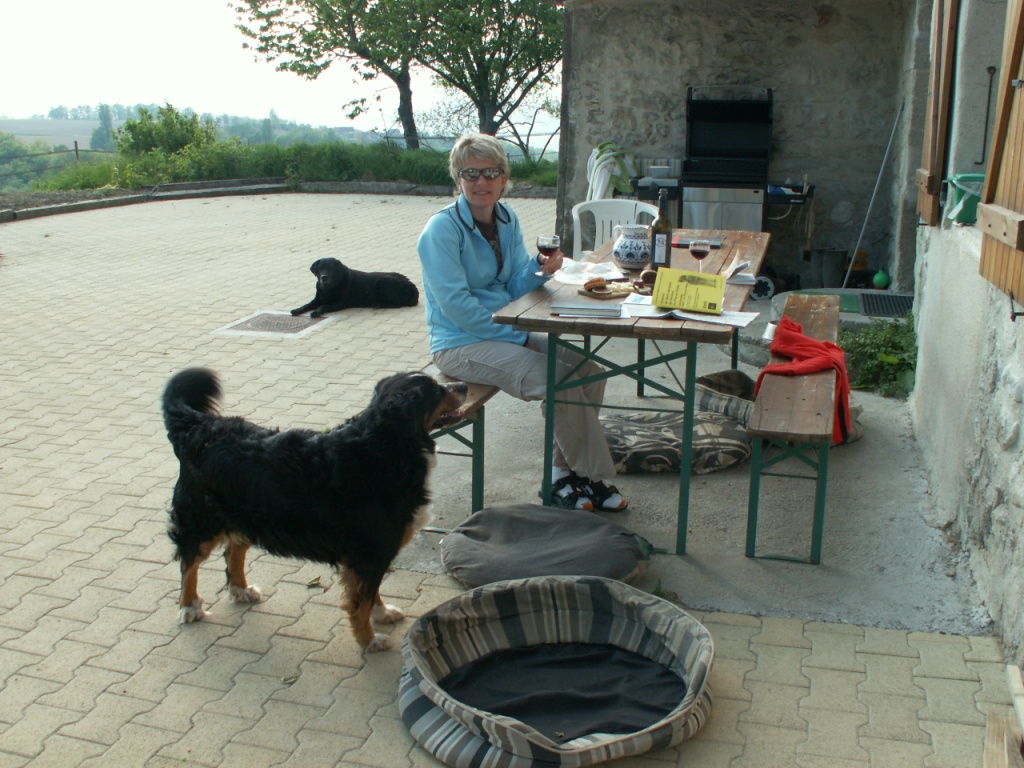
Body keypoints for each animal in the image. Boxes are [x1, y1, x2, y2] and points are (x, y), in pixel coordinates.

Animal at [161, 370, 466, 651]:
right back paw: (190, 607)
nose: (462, 385)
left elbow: (372, 592)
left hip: (249, 517)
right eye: (435, 390)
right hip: (202, 520)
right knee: (189, 561)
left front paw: (382, 613)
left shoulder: (372, 554)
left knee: (233, 550)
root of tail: (199, 427)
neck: (387, 447)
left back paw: (240, 589)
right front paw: (368, 639)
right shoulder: (369, 551)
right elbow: (361, 602)